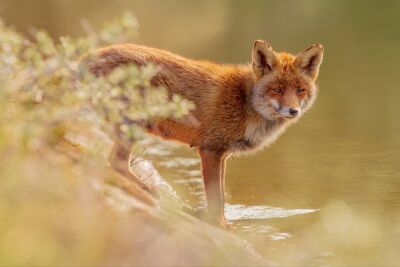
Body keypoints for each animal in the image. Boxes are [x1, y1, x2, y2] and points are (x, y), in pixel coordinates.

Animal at [86, 40, 324, 228]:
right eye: (277, 89)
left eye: (300, 90)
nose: (293, 111)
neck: (244, 102)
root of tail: (88, 56)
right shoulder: (210, 150)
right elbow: (215, 198)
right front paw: (220, 226)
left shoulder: (222, 155)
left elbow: (221, 197)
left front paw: (224, 225)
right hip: (133, 123)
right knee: (115, 161)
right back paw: (144, 187)